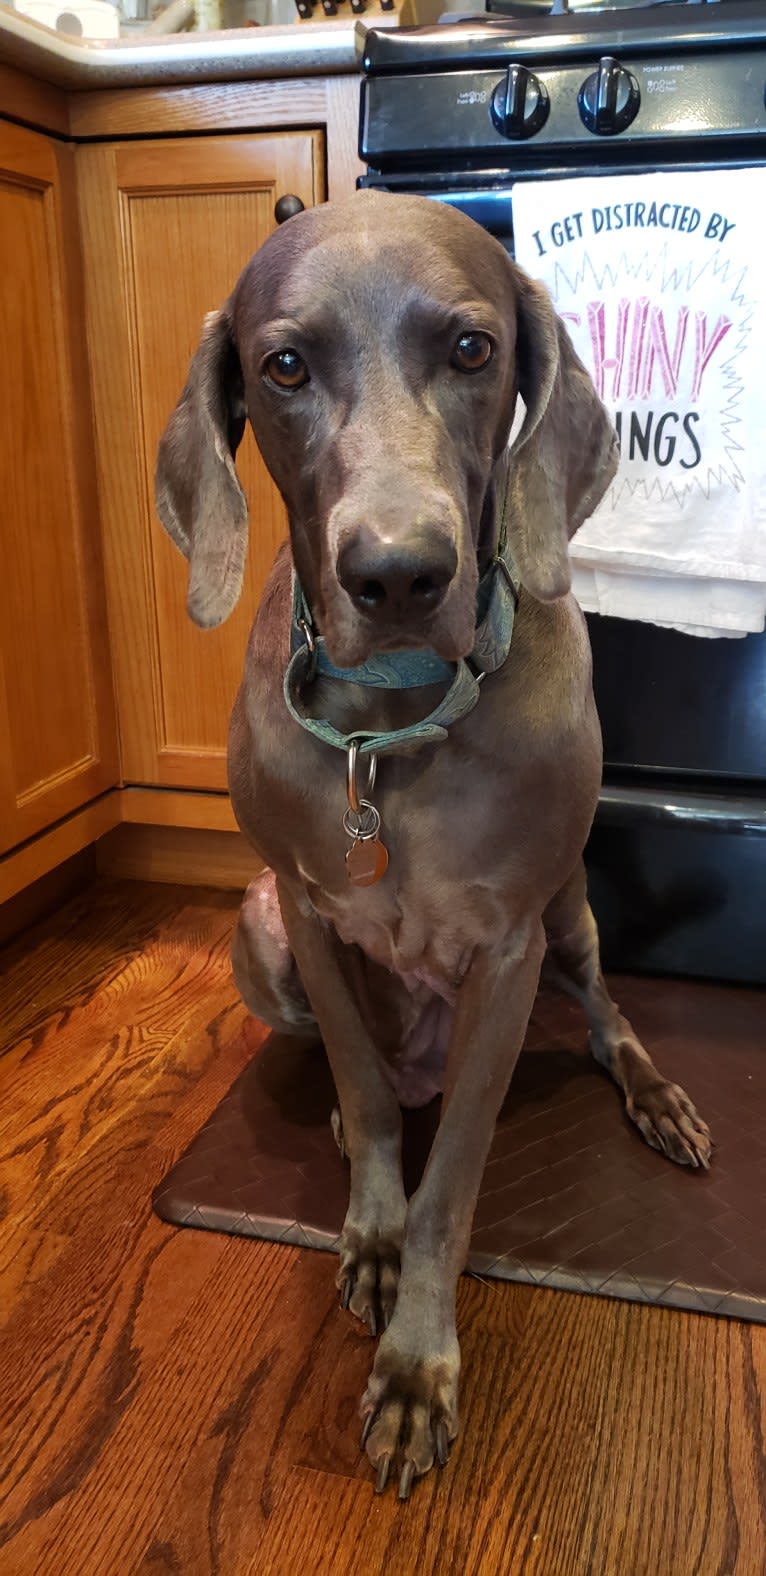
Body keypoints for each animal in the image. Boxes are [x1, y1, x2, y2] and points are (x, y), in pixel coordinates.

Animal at [155, 190, 712, 1494]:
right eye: (284, 366)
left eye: (471, 348)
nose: (399, 573)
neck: (391, 721)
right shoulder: (306, 910)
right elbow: (365, 1093)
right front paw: (367, 1231)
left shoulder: (508, 947)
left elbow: (451, 1178)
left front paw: (415, 1367)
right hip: (257, 932)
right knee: (359, 1068)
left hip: (570, 916)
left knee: (602, 1015)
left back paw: (653, 1094)